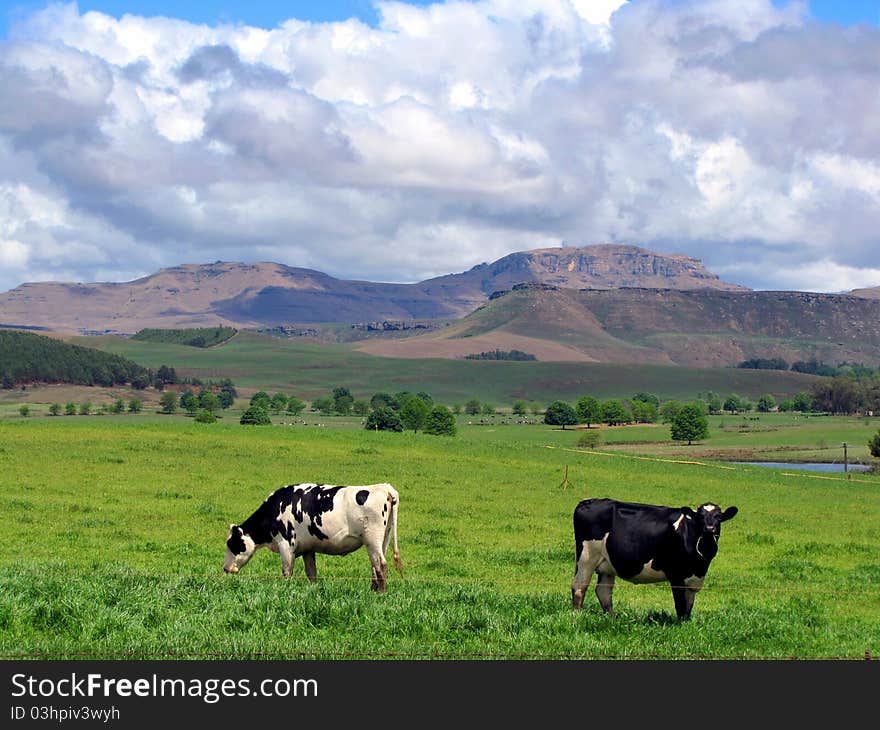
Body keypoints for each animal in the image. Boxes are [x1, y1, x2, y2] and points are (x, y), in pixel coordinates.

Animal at [223, 480, 402, 588]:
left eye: (232, 544)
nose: (225, 568)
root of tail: (383, 487)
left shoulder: (286, 544)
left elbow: (287, 571)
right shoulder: (308, 549)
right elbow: (311, 573)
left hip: (372, 539)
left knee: (380, 565)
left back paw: (380, 594)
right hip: (383, 540)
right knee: (375, 566)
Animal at [572, 494, 736, 620]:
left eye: (718, 517)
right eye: (700, 517)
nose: (709, 529)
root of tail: (587, 501)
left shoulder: (693, 578)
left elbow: (688, 606)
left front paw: (686, 622)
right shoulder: (676, 575)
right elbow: (680, 604)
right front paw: (680, 625)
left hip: (607, 564)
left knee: (603, 591)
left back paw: (612, 618)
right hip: (586, 557)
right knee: (579, 586)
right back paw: (577, 615)